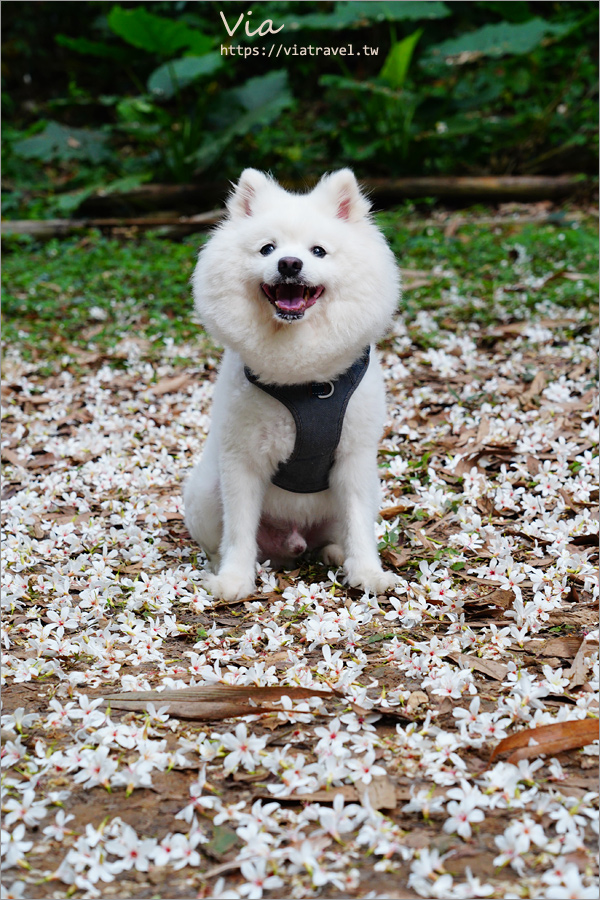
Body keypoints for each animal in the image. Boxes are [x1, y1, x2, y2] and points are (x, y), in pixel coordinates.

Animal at [183, 169, 398, 604]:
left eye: (318, 251)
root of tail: (294, 541)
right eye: (267, 248)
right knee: (221, 541)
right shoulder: (241, 460)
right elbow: (239, 530)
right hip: (206, 493)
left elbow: (358, 523)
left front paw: (368, 573)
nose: (289, 263)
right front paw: (234, 580)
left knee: (338, 533)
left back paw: (336, 554)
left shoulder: (354, 459)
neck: (303, 381)